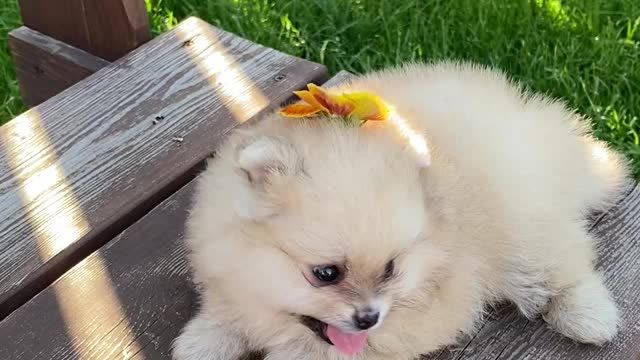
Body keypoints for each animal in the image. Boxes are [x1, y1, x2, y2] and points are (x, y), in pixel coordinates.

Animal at [172, 62, 628, 360]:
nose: (368, 317)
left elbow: (309, 350)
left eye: (391, 269)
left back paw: (589, 316)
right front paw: (203, 340)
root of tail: (546, 129)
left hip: (525, 221)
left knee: (565, 262)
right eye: (326, 273)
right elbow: (229, 311)